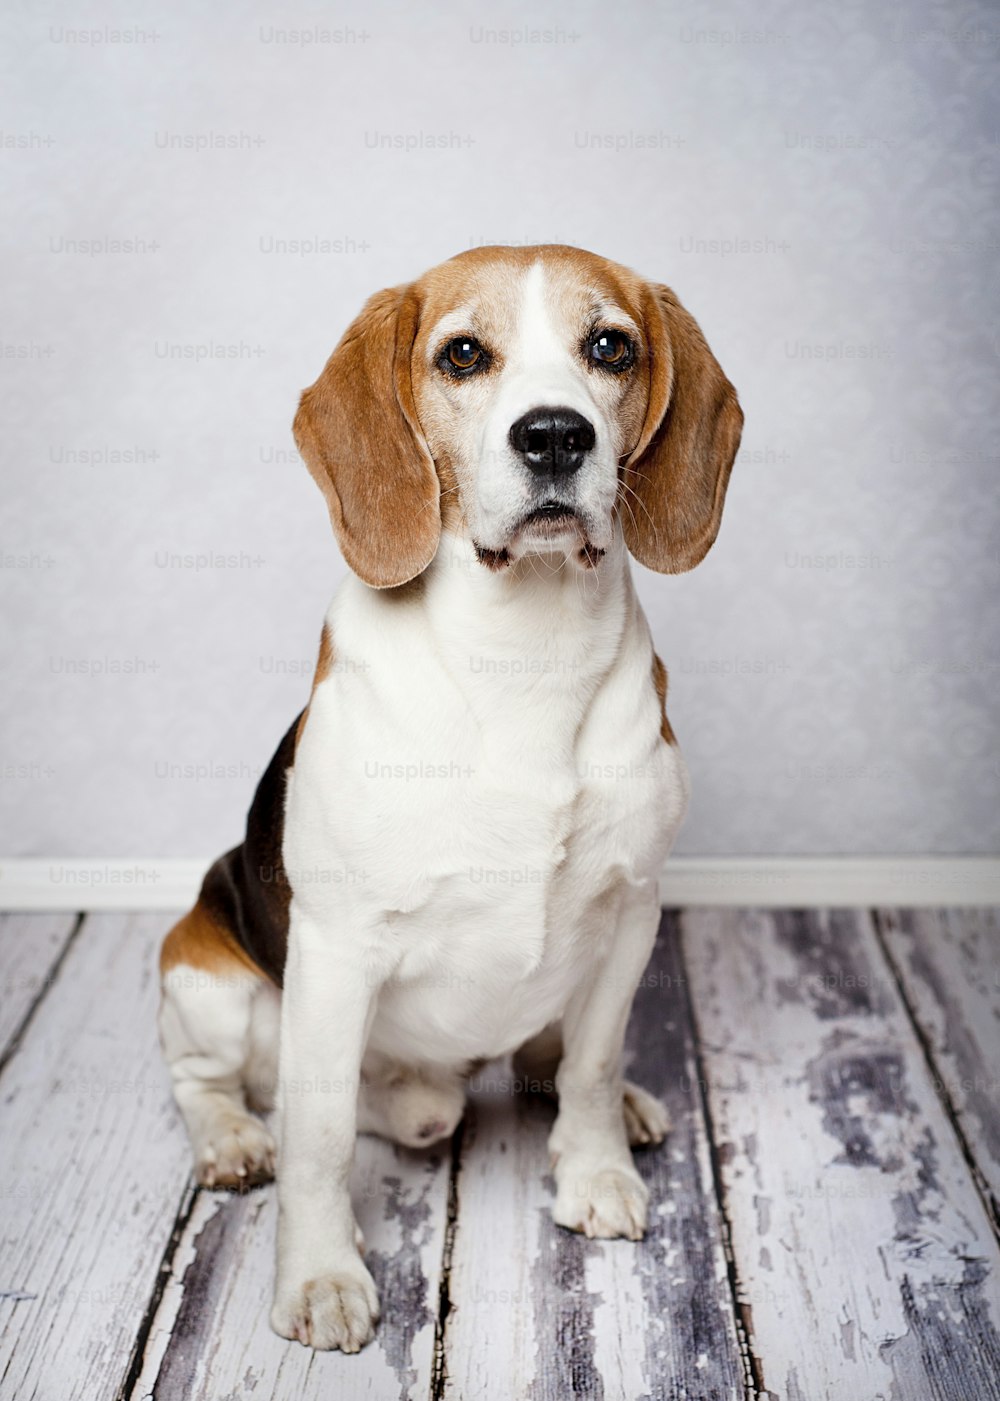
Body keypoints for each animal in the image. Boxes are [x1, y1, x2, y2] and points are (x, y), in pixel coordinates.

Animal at [157, 246, 739, 1350]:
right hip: (203, 974)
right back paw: (232, 1140)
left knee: (536, 1059)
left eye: (611, 347)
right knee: (215, 1082)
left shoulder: (633, 908)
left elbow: (594, 1062)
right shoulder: (336, 950)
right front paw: (320, 1274)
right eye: (463, 355)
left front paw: (595, 1168)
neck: (523, 655)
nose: (554, 434)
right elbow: (321, 1136)